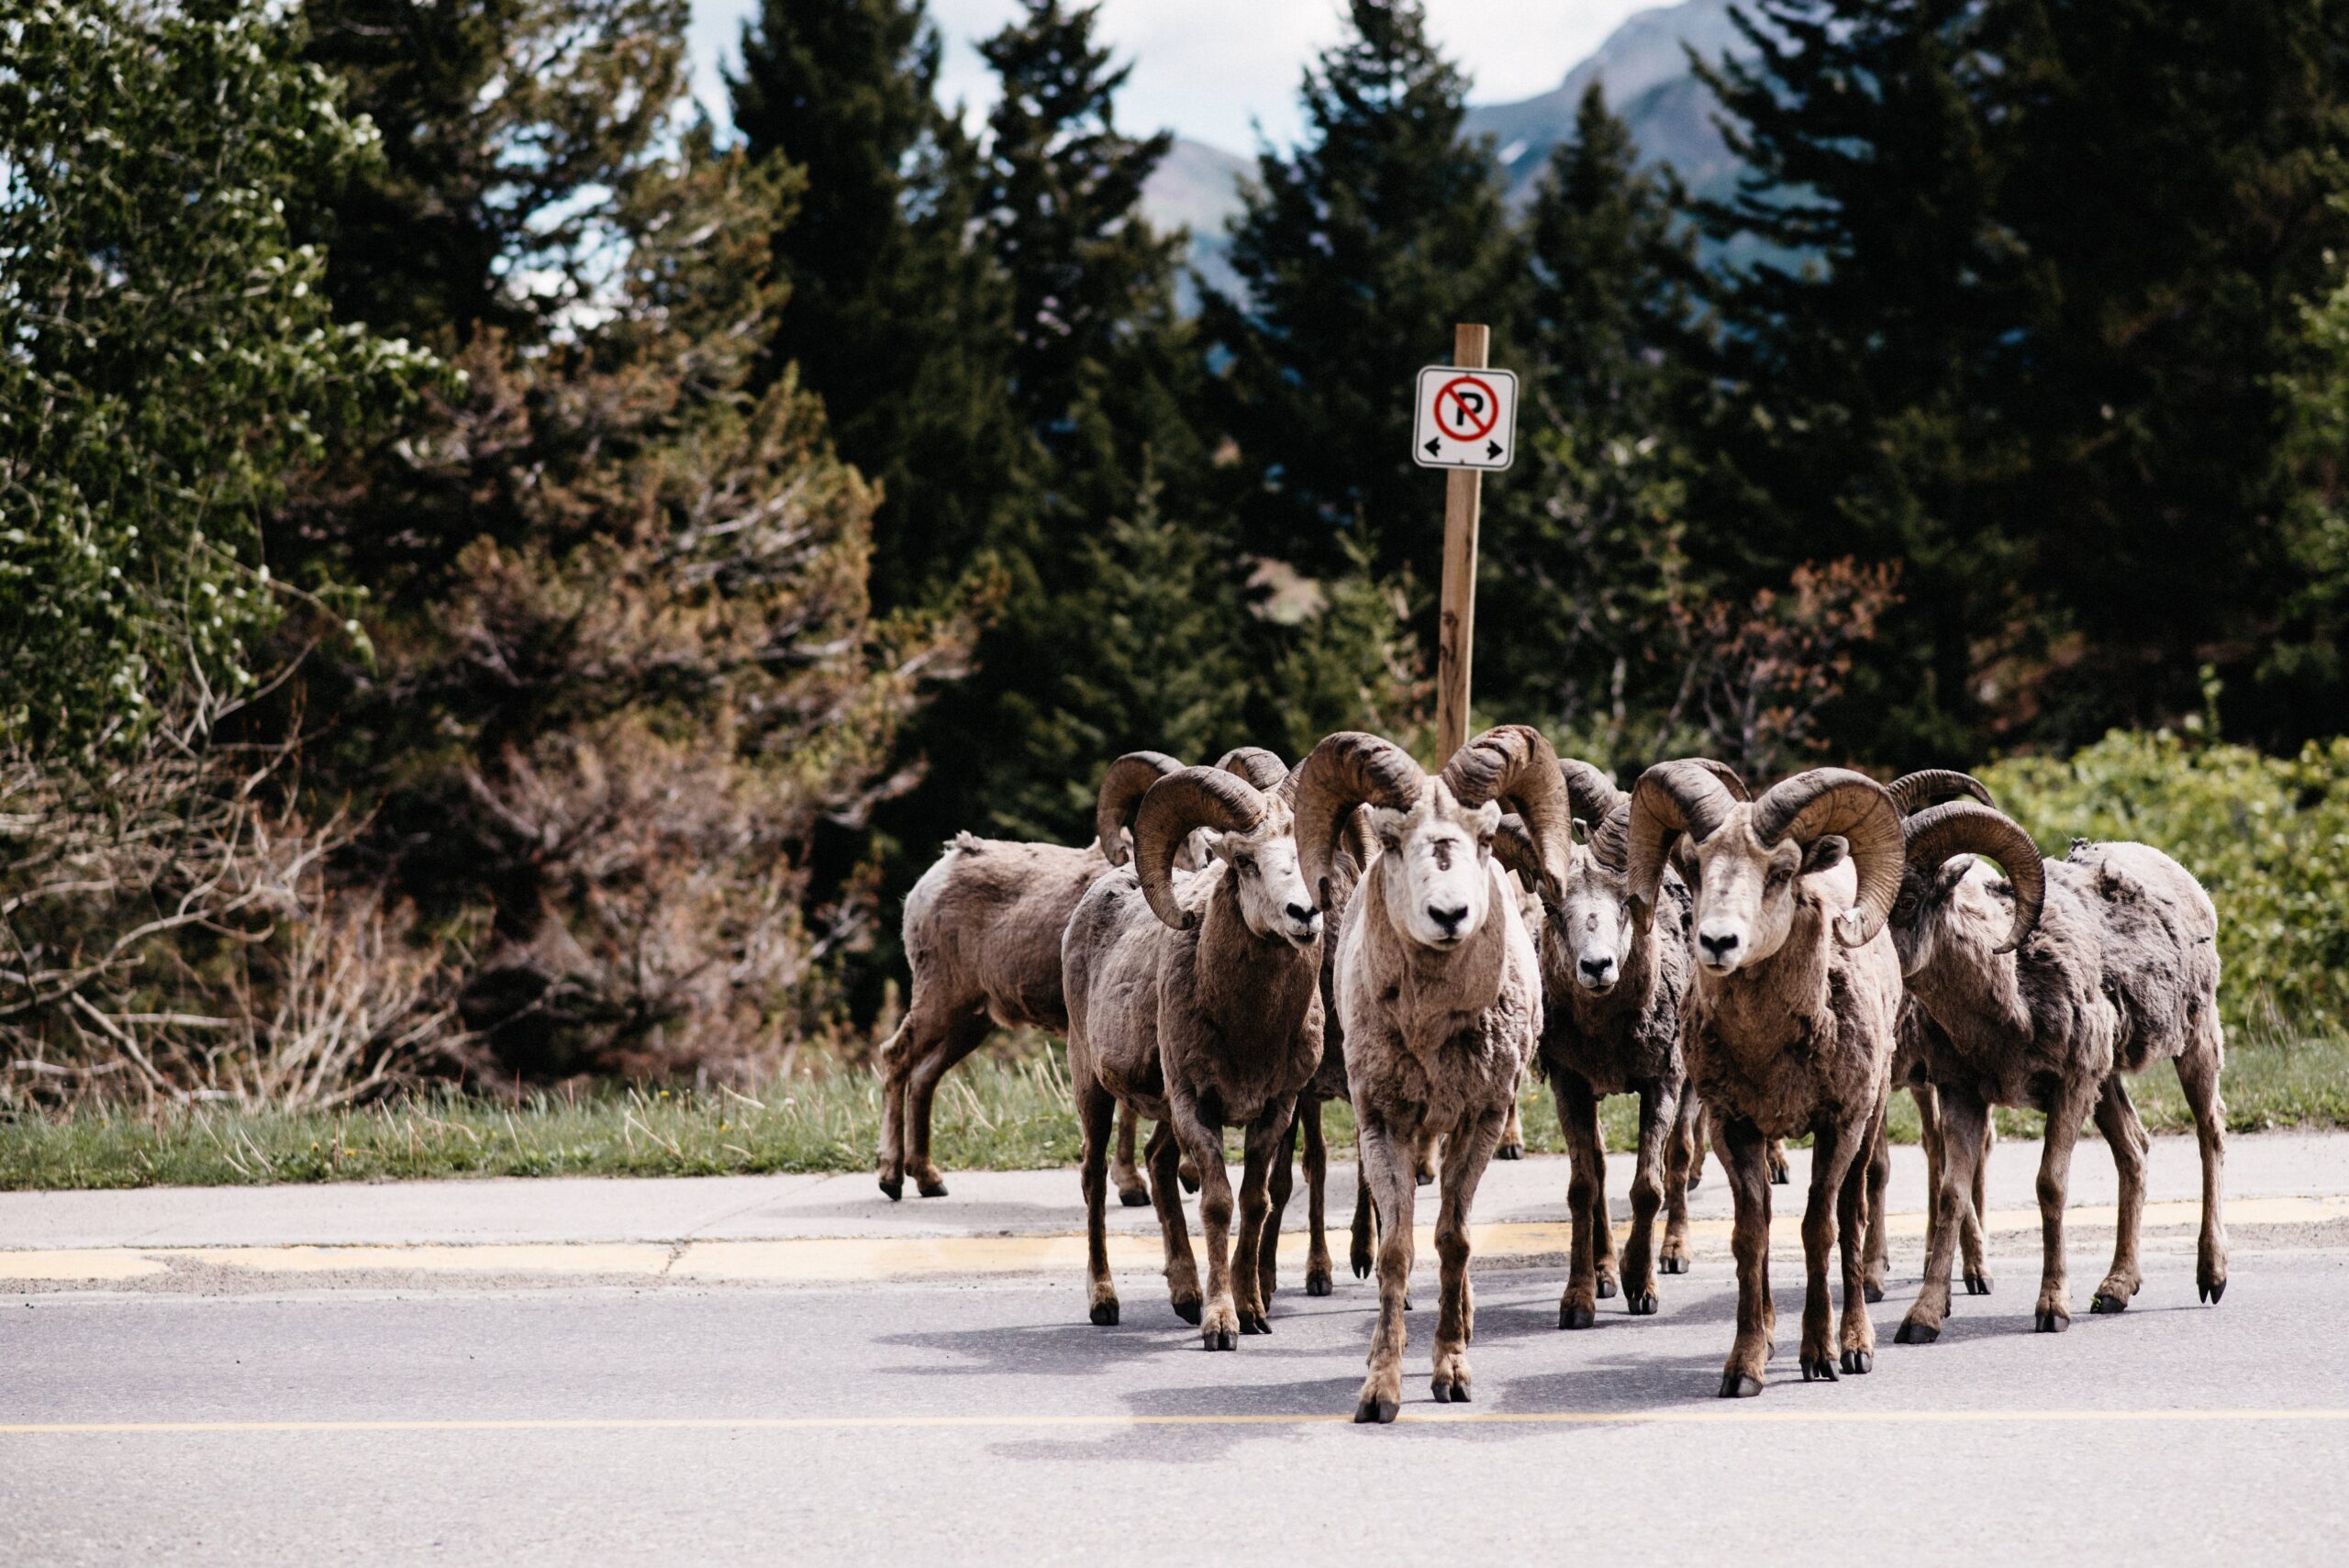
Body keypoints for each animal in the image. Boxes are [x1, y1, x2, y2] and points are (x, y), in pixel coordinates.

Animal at [874, 750, 1194, 1202]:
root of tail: (932, 878)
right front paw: (1134, 1187)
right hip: (940, 1001)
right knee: (896, 1058)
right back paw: (891, 1178)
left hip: (971, 1022)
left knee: (923, 1077)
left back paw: (929, 1179)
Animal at [1064, 763, 1326, 1347]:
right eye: (1246, 862)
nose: (1304, 914)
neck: (1250, 1030)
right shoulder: (1195, 1106)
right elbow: (1217, 1203)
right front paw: (1221, 1324)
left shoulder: (1276, 1109)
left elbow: (1255, 1201)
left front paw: (1253, 1312)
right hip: (1093, 1087)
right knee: (1093, 1178)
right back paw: (1103, 1301)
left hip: (1162, 1110)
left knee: (1158, 1163)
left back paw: (1184, 1296)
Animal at [1291, 725, 1573, 1422]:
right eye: (1392, 840)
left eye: (1484, 836)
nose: (1450, 914)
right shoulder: (1382, 1125)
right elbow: (1397, 1249)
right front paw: (1380, 1390)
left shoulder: (1482, 1119)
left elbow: (1455, 1239)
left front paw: (1452, 1372)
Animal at [1623, 762, 1907, 1396]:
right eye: (1696, 865)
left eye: (1780, 872)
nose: (1717, 943)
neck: (1769, 1054)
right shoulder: (1735, 1128)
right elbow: (1751, 1235)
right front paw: (1745, 1365)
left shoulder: (1838, 1125)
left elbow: (1819, 1228)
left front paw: (1821, 1357)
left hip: (1869, 1122)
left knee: (1852, 1216)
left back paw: (1857, 1342)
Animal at [1880, 798, 2227, 1344]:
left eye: (1910, 898)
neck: (2008, 997)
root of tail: (2188, 882)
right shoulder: (1962, 1093)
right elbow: (1953, 1193)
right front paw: (1922, 1319)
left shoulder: (2070, 1086)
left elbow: (2050, 1185)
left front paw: (2051, 1310)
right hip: (2107, 1084)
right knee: (2135, 1151)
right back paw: (2114, 1290)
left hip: (2195, 1041)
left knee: (2209, 1133)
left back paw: (2210, 1277)